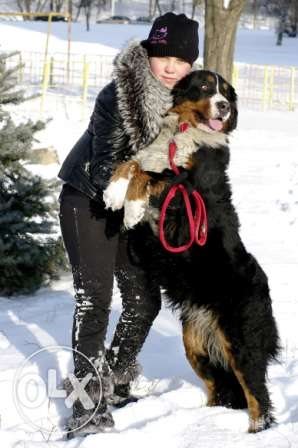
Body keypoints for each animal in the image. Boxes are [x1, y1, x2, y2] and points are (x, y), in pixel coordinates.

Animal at [103, 71, 280, 434]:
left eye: (226, 92)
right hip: (196, 345)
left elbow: (144, 174)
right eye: (204, 86)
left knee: (258, 395)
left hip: (241, 341)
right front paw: (113, 192)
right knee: (220, 388)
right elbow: (131, 162)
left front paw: (131, 207)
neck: (183, 134)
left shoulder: (181, 186)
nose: (224, 106)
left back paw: (254, 431)